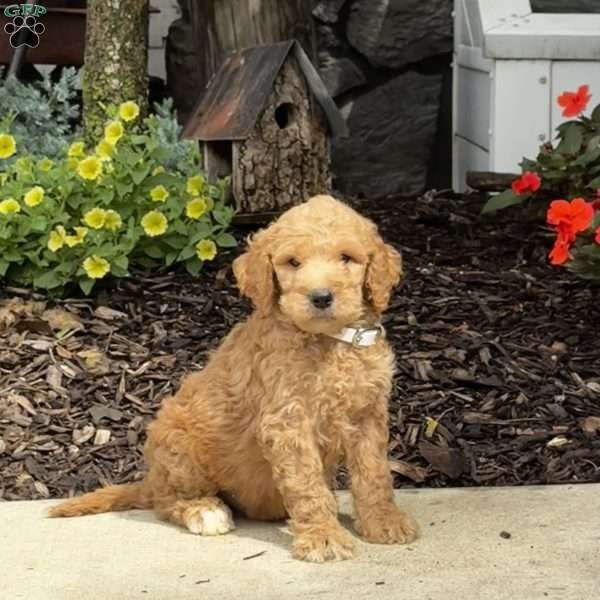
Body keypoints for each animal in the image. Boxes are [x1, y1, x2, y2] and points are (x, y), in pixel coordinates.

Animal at [50, 193, 418, 564]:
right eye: (293, 262)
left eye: (347, 258)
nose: (321, 297)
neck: (331, 341)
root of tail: (150, 480)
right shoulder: (288, 421)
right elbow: (308, 484)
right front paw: (323, 536)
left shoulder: (368, 414)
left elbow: (374, 473)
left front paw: (384, 521)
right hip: (179, 445)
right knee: (165, 501)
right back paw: (203, 510)